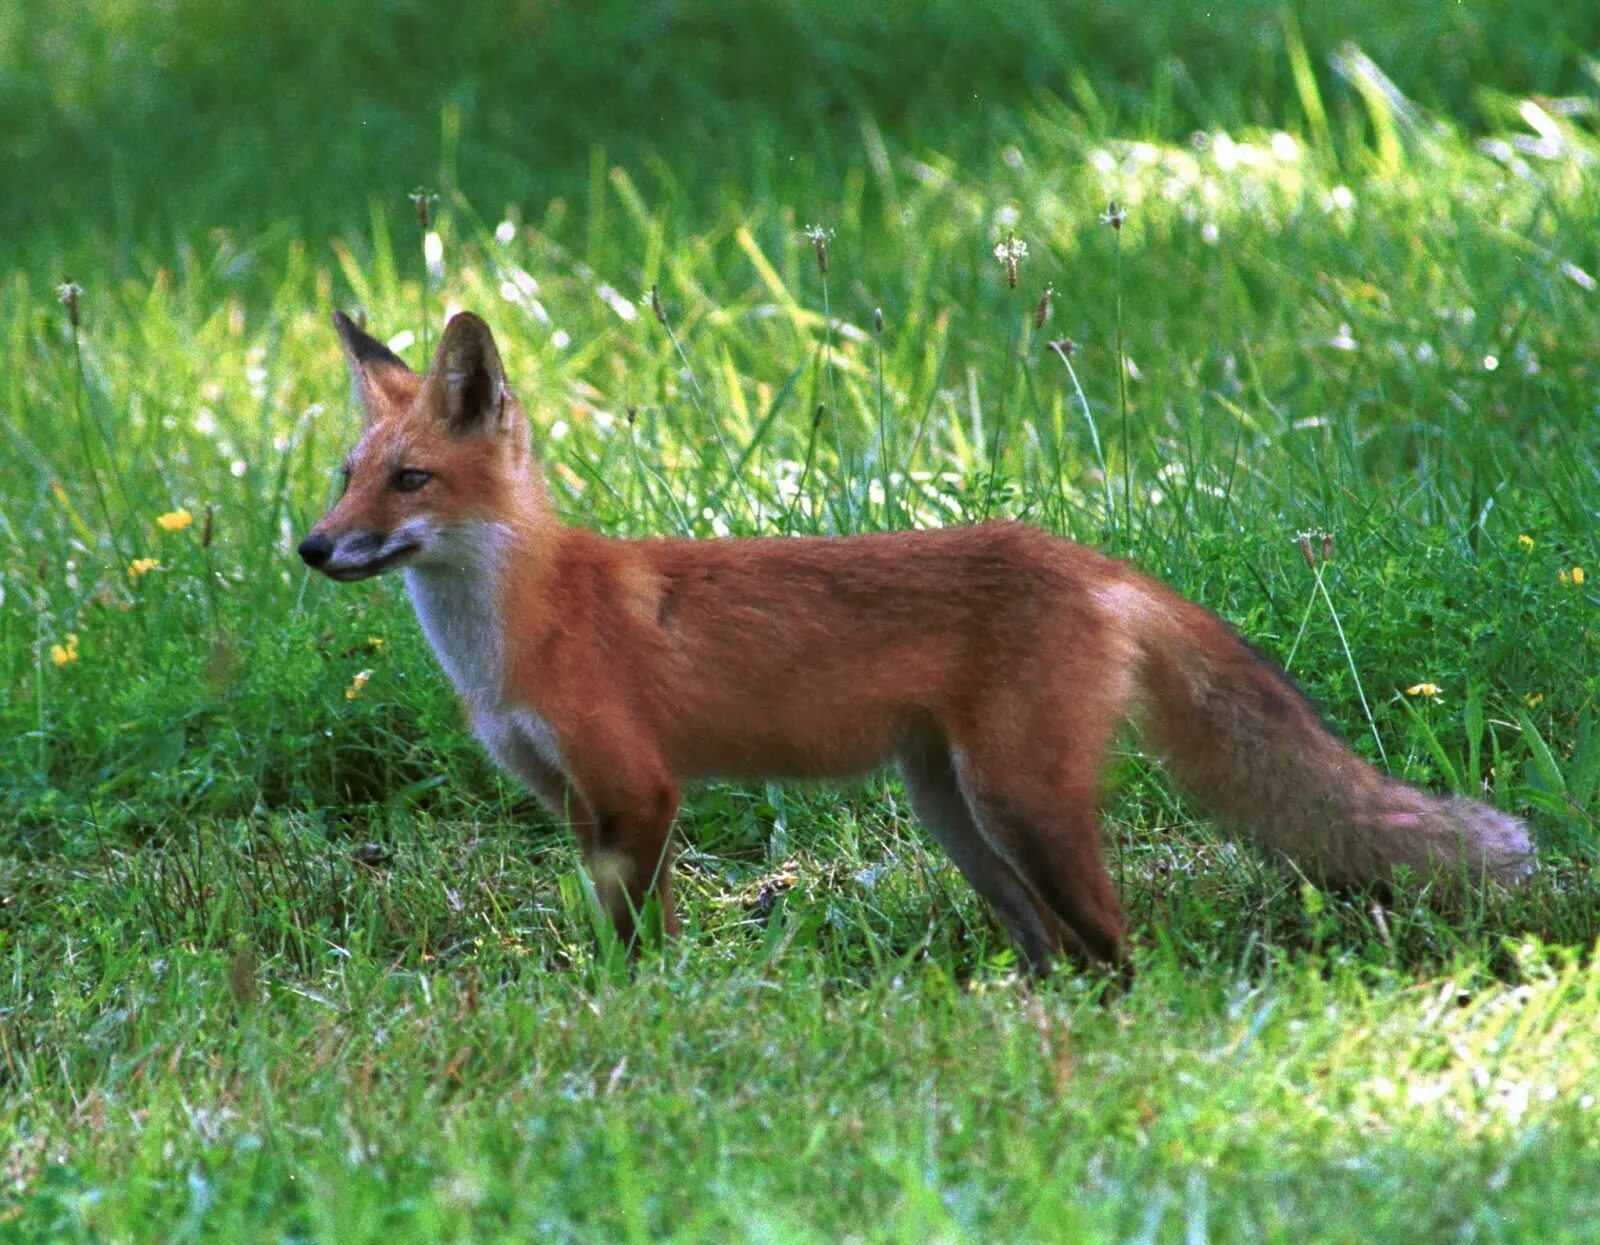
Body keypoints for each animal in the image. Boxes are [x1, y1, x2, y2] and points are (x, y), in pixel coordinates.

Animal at [300, 310, 1536, 972]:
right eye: (347, 476)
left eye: (410, 482)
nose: (311, 547)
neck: (517, 627)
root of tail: (1092, 560)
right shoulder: (576, 805)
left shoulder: (641, 791)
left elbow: (640, 947)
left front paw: (634, 1013)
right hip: (961, 819)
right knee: (1058, 952)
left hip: (1019, 806)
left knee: (1116, 945)